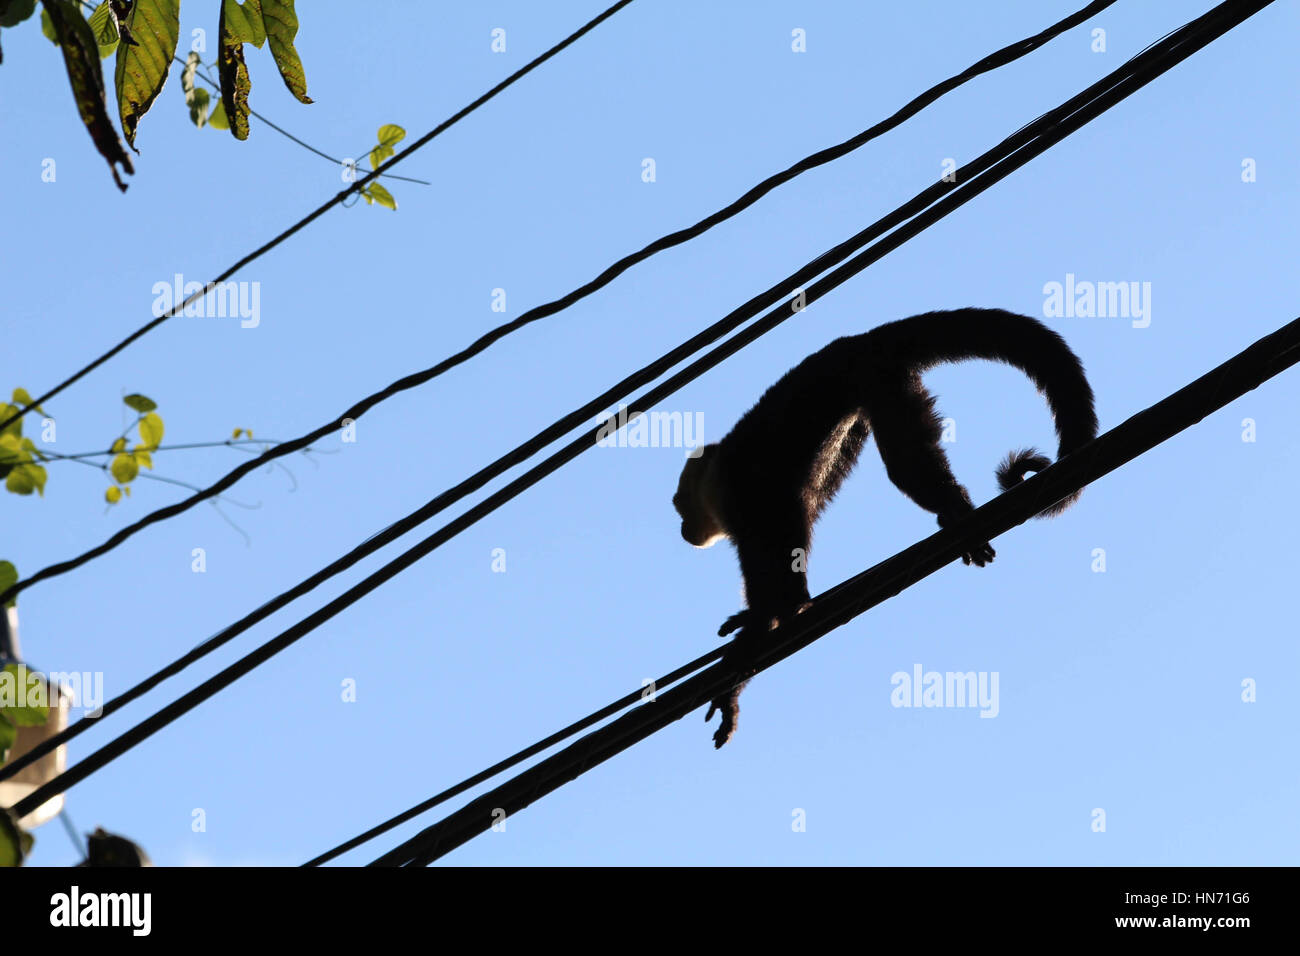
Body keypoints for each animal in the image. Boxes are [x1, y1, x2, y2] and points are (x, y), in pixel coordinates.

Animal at [676, 306, 1102, 749]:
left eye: (680, 501)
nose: (683, 524)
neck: (715, 483)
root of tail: (865, 339)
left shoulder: (742, 496)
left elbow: (784, 591)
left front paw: (750, 649)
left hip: (880, 379)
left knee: (905, 466)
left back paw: (956, 509)